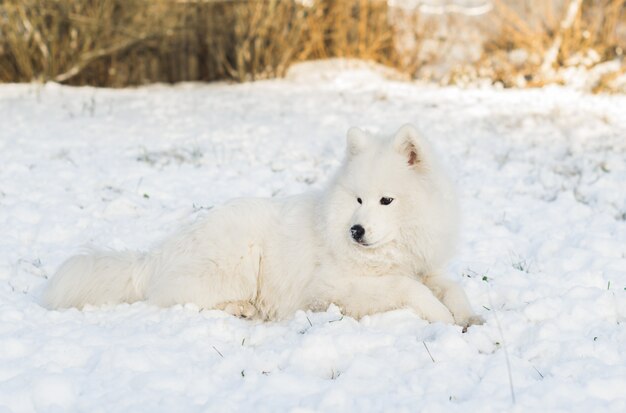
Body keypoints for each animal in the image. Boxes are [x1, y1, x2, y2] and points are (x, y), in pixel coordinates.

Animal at [44, 124, 480, 326]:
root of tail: (152, 257)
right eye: (358, 200)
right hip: (237, 257)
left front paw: (467, 315)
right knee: (181, 298)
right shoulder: (332, 289)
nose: (355, 231)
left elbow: (452, 286)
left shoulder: (425, 268)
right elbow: (408, 289)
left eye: (386, 200)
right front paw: (443, 317)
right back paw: (243, 308)